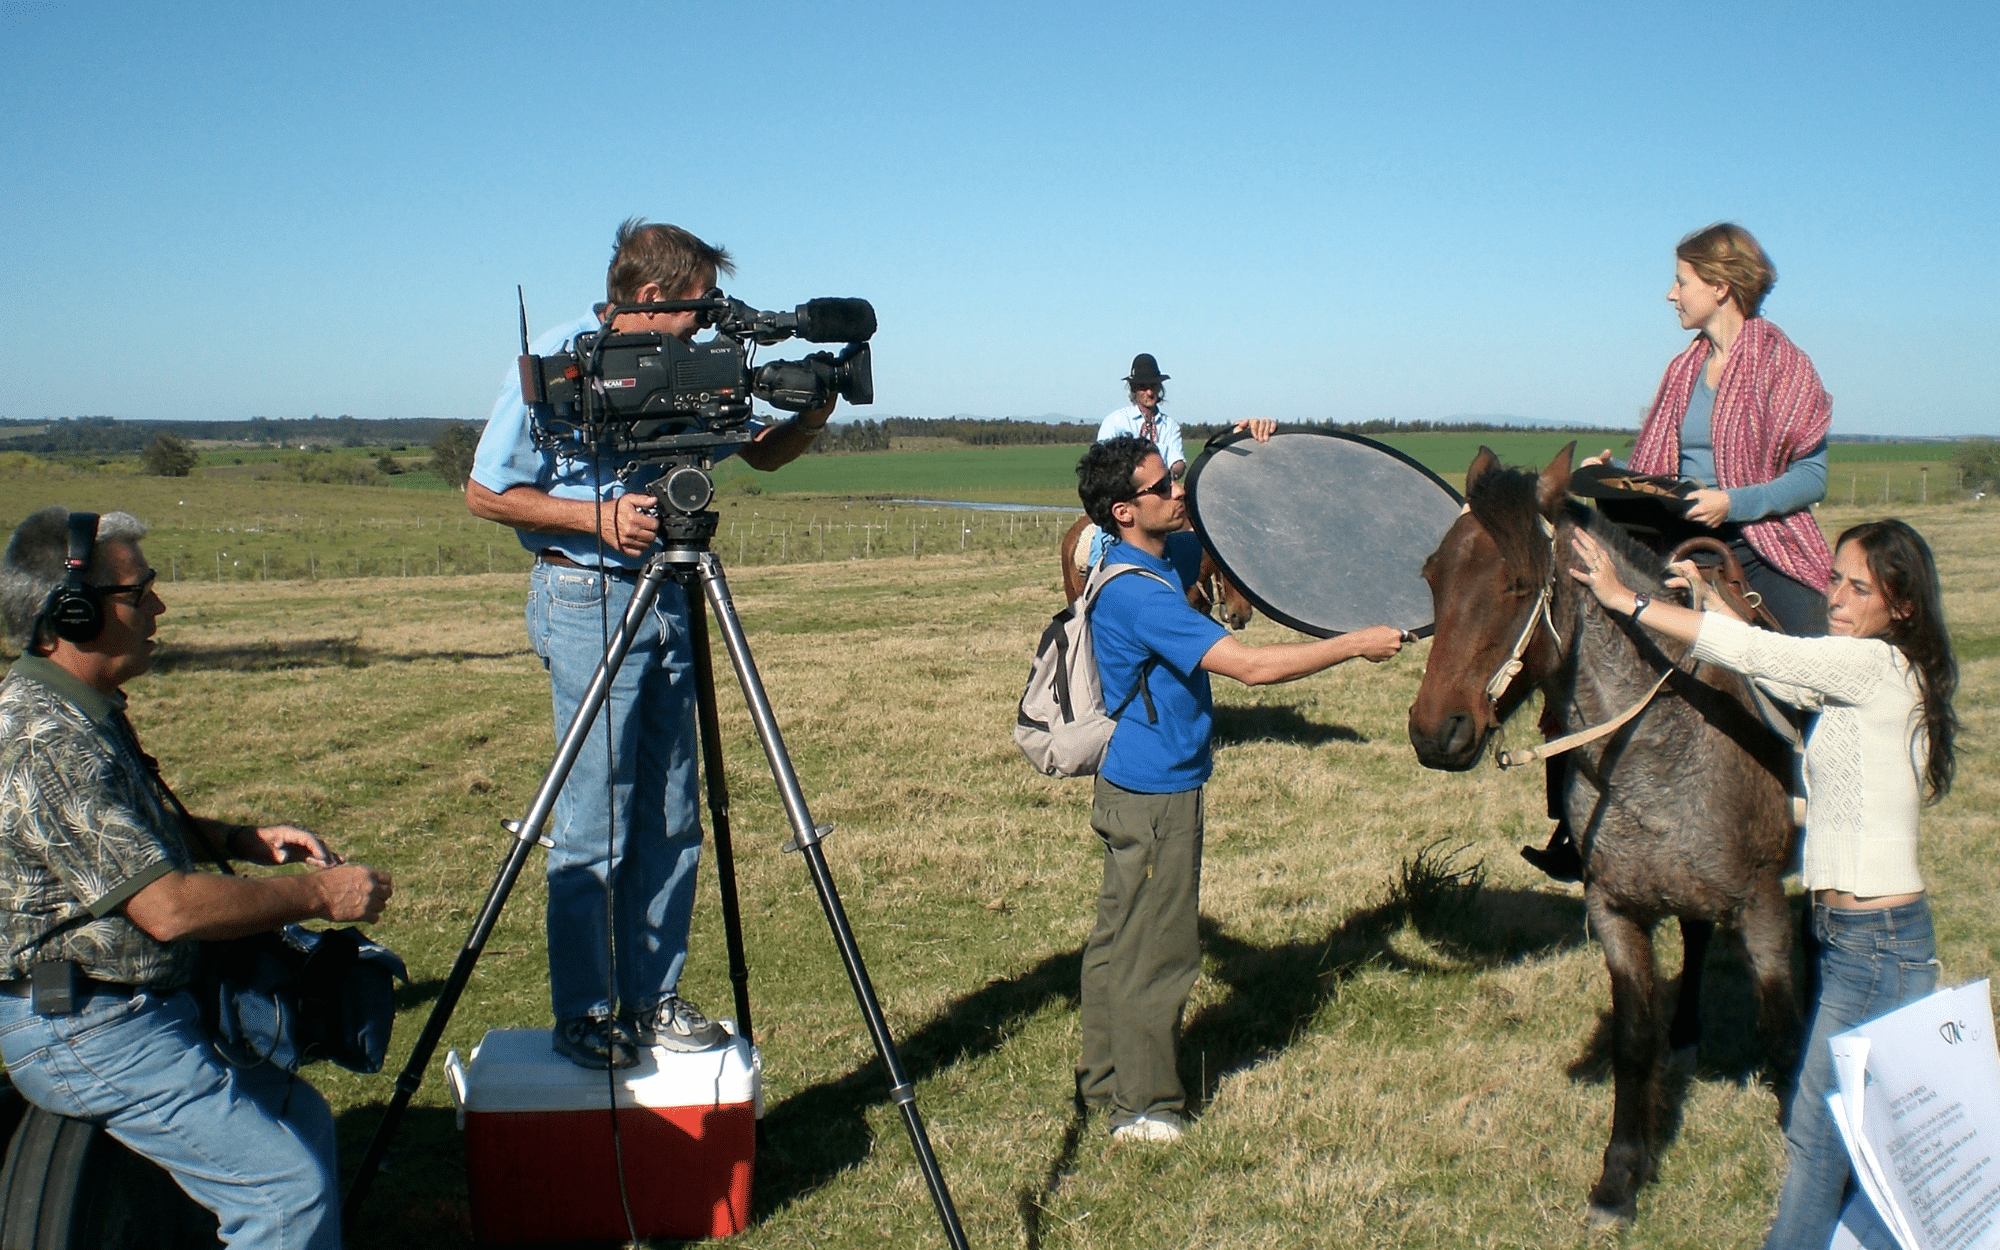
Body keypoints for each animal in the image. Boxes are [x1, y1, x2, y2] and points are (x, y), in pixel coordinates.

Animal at [1406, 444, 1798, 1227]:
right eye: (1434, 576)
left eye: (1519, 583)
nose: (1436, 732)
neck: (1659, 744)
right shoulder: (1616, 910)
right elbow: (1633, 1037)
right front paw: (1621, 1177)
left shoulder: (1763, 905)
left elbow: (1780, 1026)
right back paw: (1686, 1037)